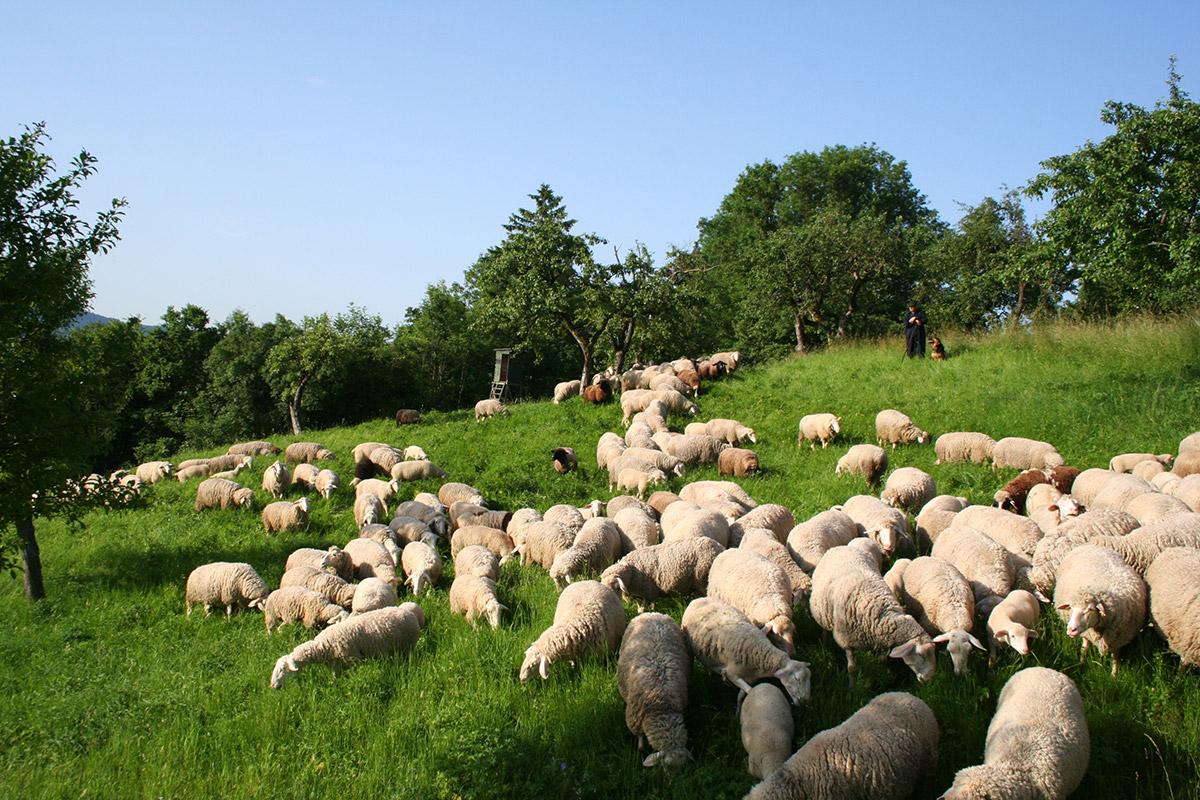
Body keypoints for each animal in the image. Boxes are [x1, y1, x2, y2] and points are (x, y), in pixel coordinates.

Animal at [269, 603, 425, 688]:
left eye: (283, 670)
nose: (273, 686)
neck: (323, 645)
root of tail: (408, 611)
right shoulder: (335, 665)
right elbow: (335, 678)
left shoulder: (354, 659)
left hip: (408, 646)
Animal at [616, 612, 692, 768]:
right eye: (665, 768)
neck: (661, 707)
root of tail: (653, 614)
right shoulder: (635, 718)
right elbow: (640, 739)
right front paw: (641, 749)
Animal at [681, 597, 811, 704]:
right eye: (797, 679)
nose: (806, 702)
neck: (759, 653)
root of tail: (696, 599)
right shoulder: (731, 674)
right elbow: (750, 691)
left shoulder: (750, 678)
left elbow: (741, 695)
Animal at [810, 539, 936, 686]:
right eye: (920, 655)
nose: (928, 679)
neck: (880, 613)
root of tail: (839, 547)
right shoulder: (846, 641)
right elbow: (852, 668)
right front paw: (852, 687)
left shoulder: (881, 642)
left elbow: (881, 661)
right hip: (822, 612)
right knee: (824, 629)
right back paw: (825, 644)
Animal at [1053, 544, 1147, 675]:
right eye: (1071, 608)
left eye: (1090, 609)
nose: (1071, 630)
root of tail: (1089, 545)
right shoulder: (1087, 633)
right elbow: (1084, 646)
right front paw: (1081, 662)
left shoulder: (1117, 639)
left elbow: (1115, 656)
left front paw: (1114, 674)